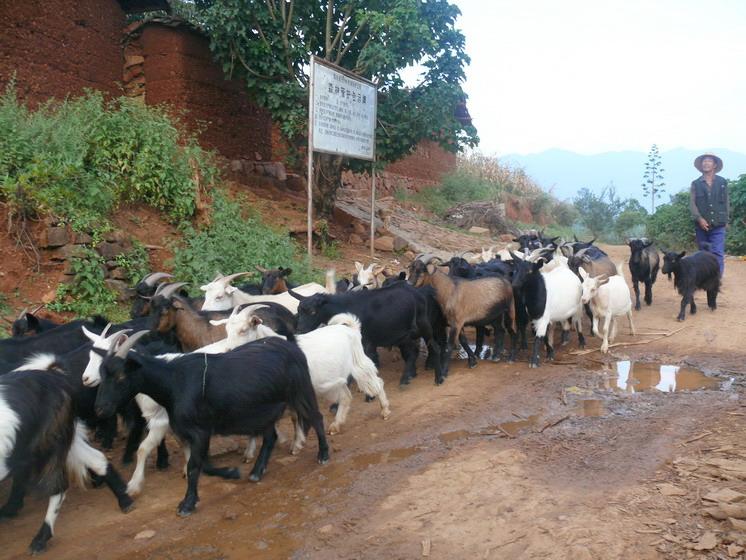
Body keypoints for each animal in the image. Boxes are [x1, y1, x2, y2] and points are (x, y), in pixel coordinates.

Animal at [243, 312, 390, 452]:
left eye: (244, 330)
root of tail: (351, 329)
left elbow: (296, 417)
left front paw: (296, 444)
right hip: (336, 379)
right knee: (346, 396)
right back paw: (336, 425)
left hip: (358, 364)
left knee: (377, 383)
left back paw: (385, 410)